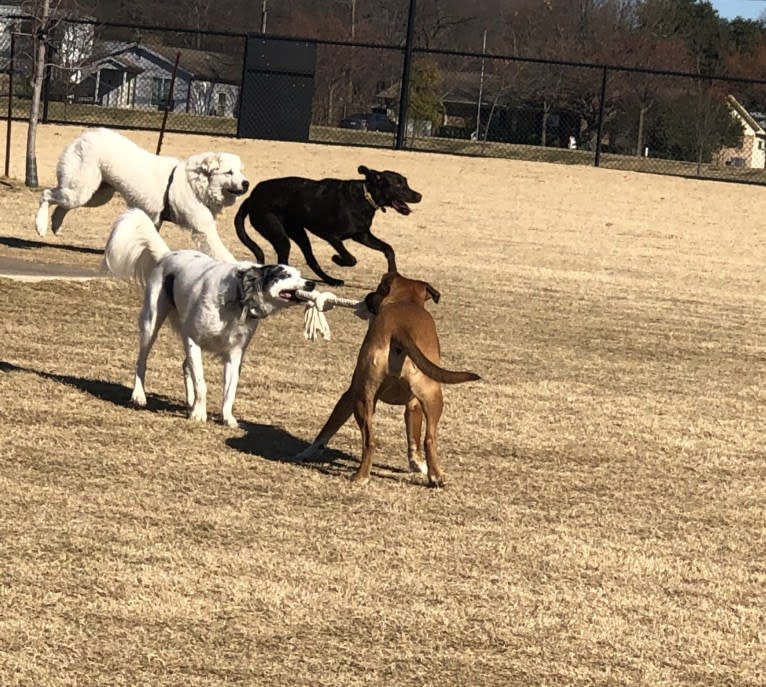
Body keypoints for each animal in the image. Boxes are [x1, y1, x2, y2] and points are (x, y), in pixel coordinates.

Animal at [36, 127, 249, 262]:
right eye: (229, 172)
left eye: (240, 171)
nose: (246, 183)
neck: (195, 182)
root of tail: (86, 136)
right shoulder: (203, 229)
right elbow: (221, 252)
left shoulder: (156, 220)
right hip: (80, 191)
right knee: (46, 194)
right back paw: (41, 226)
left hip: (95, 195)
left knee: (60, 205)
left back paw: (56, 225)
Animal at [104, 207, 316, 428]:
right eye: (284, 275)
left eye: (300, 274)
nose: (311, 284)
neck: (237, 298)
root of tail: (167, 255)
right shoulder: (192, 339)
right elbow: (201, 383)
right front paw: (199, 414)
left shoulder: (235, 353)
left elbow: (229, 391)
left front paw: (226, 417)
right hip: (151, 323)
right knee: (142, 361)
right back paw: (139, 395)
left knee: (185, 366)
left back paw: (190, 402)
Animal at [236, 165, 424, 286]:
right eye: (398, 184)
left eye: (405, 181)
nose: (419, 196)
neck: (365, 196)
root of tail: (251, 197)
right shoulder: (331, 236)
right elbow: (351, 258)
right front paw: (337, 259)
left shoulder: (361, 235)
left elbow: (388, 249)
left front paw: (393, 271)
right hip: (277, 232)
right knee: (284, 259)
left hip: (298, 232)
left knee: (311, 260)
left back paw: (331, 280)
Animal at [298, 272, 484, 486]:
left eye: (378, 289)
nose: (367, 297)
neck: (406, 301)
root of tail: (401, 329)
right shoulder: (413, 404)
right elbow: (414, 438)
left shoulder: (351, 394)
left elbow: (327, 429)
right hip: (432, 396)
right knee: (429, 438)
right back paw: (436, 476)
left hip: (363, 398)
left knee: (370, 440)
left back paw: (361, 476)